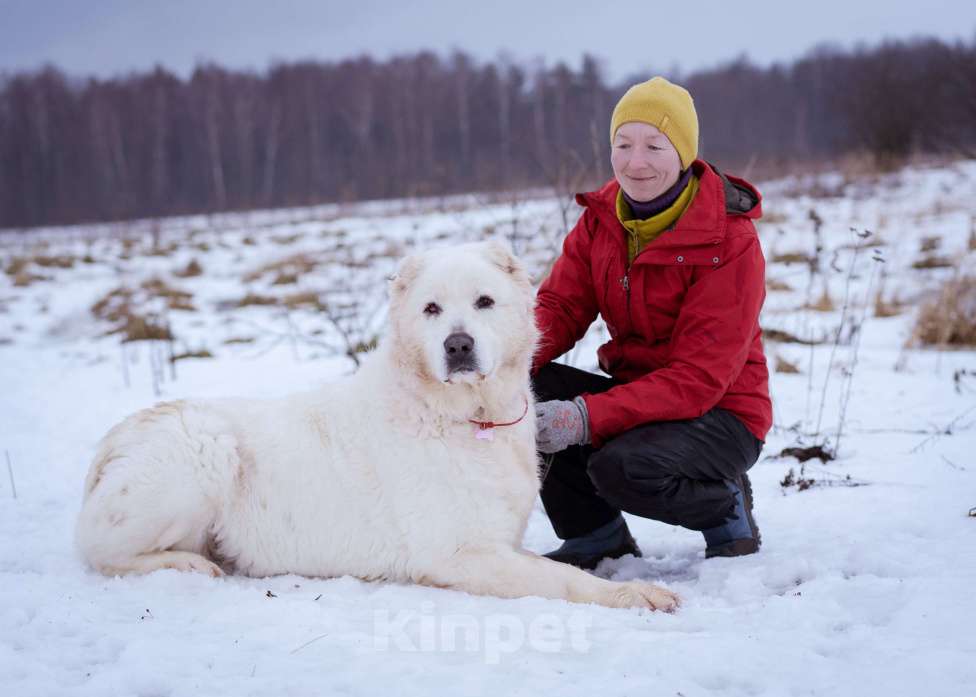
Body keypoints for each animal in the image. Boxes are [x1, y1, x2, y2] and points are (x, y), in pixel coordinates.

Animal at [78, 239, 680, 608]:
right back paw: (188, 565)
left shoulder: (495, 544)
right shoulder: (458, 553)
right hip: (205, 450)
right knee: (100, 553)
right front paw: (636, 596)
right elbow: (563, 578)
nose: (458, 346)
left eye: (485, 302)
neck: (463, 416)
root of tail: (112, 440)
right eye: (432, 309)